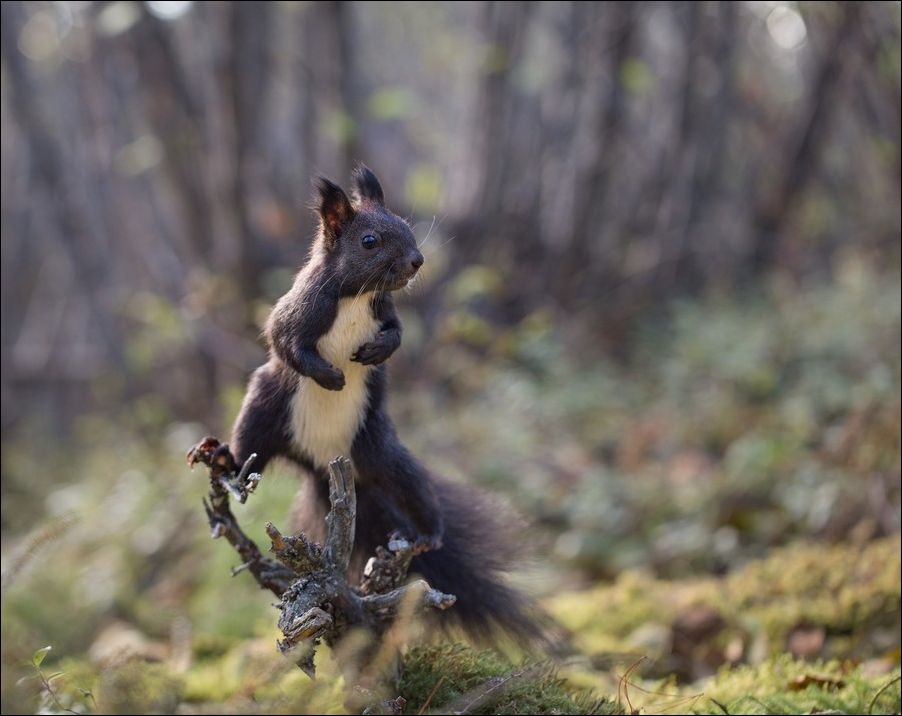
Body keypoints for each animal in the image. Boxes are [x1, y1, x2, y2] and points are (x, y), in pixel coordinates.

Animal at [203, 165, 548, 646]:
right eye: (369, 241)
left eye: (405, 225)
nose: (417, 260)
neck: (357, 295)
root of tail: (324, 459)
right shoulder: (299, 309)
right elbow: (285, 342)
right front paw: (330, 376)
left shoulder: (385, 310)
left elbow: (398, 333)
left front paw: (375, 352)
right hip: (264, 412)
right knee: (248, 449)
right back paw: (225, 462)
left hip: (380, 451)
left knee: (412, 485)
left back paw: (428, 531)